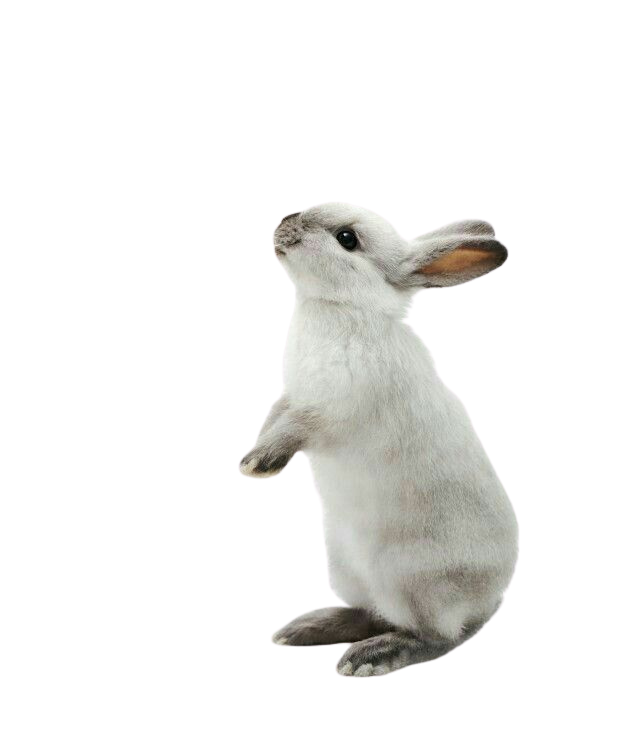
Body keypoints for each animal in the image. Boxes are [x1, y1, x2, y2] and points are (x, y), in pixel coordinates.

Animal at [240, 203, 519, 678]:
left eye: (347, 239)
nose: (284, 223)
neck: (342, 308)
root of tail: (488, 599)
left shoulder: (327, 410)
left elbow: (295, 429)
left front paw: (259, 464)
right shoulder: (288, 399)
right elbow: (273, 419)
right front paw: (253, 457)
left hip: (409, 582)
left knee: (436, 635)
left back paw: (370, 655)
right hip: (347, 567)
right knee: (372, 612)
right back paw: (307, 629)